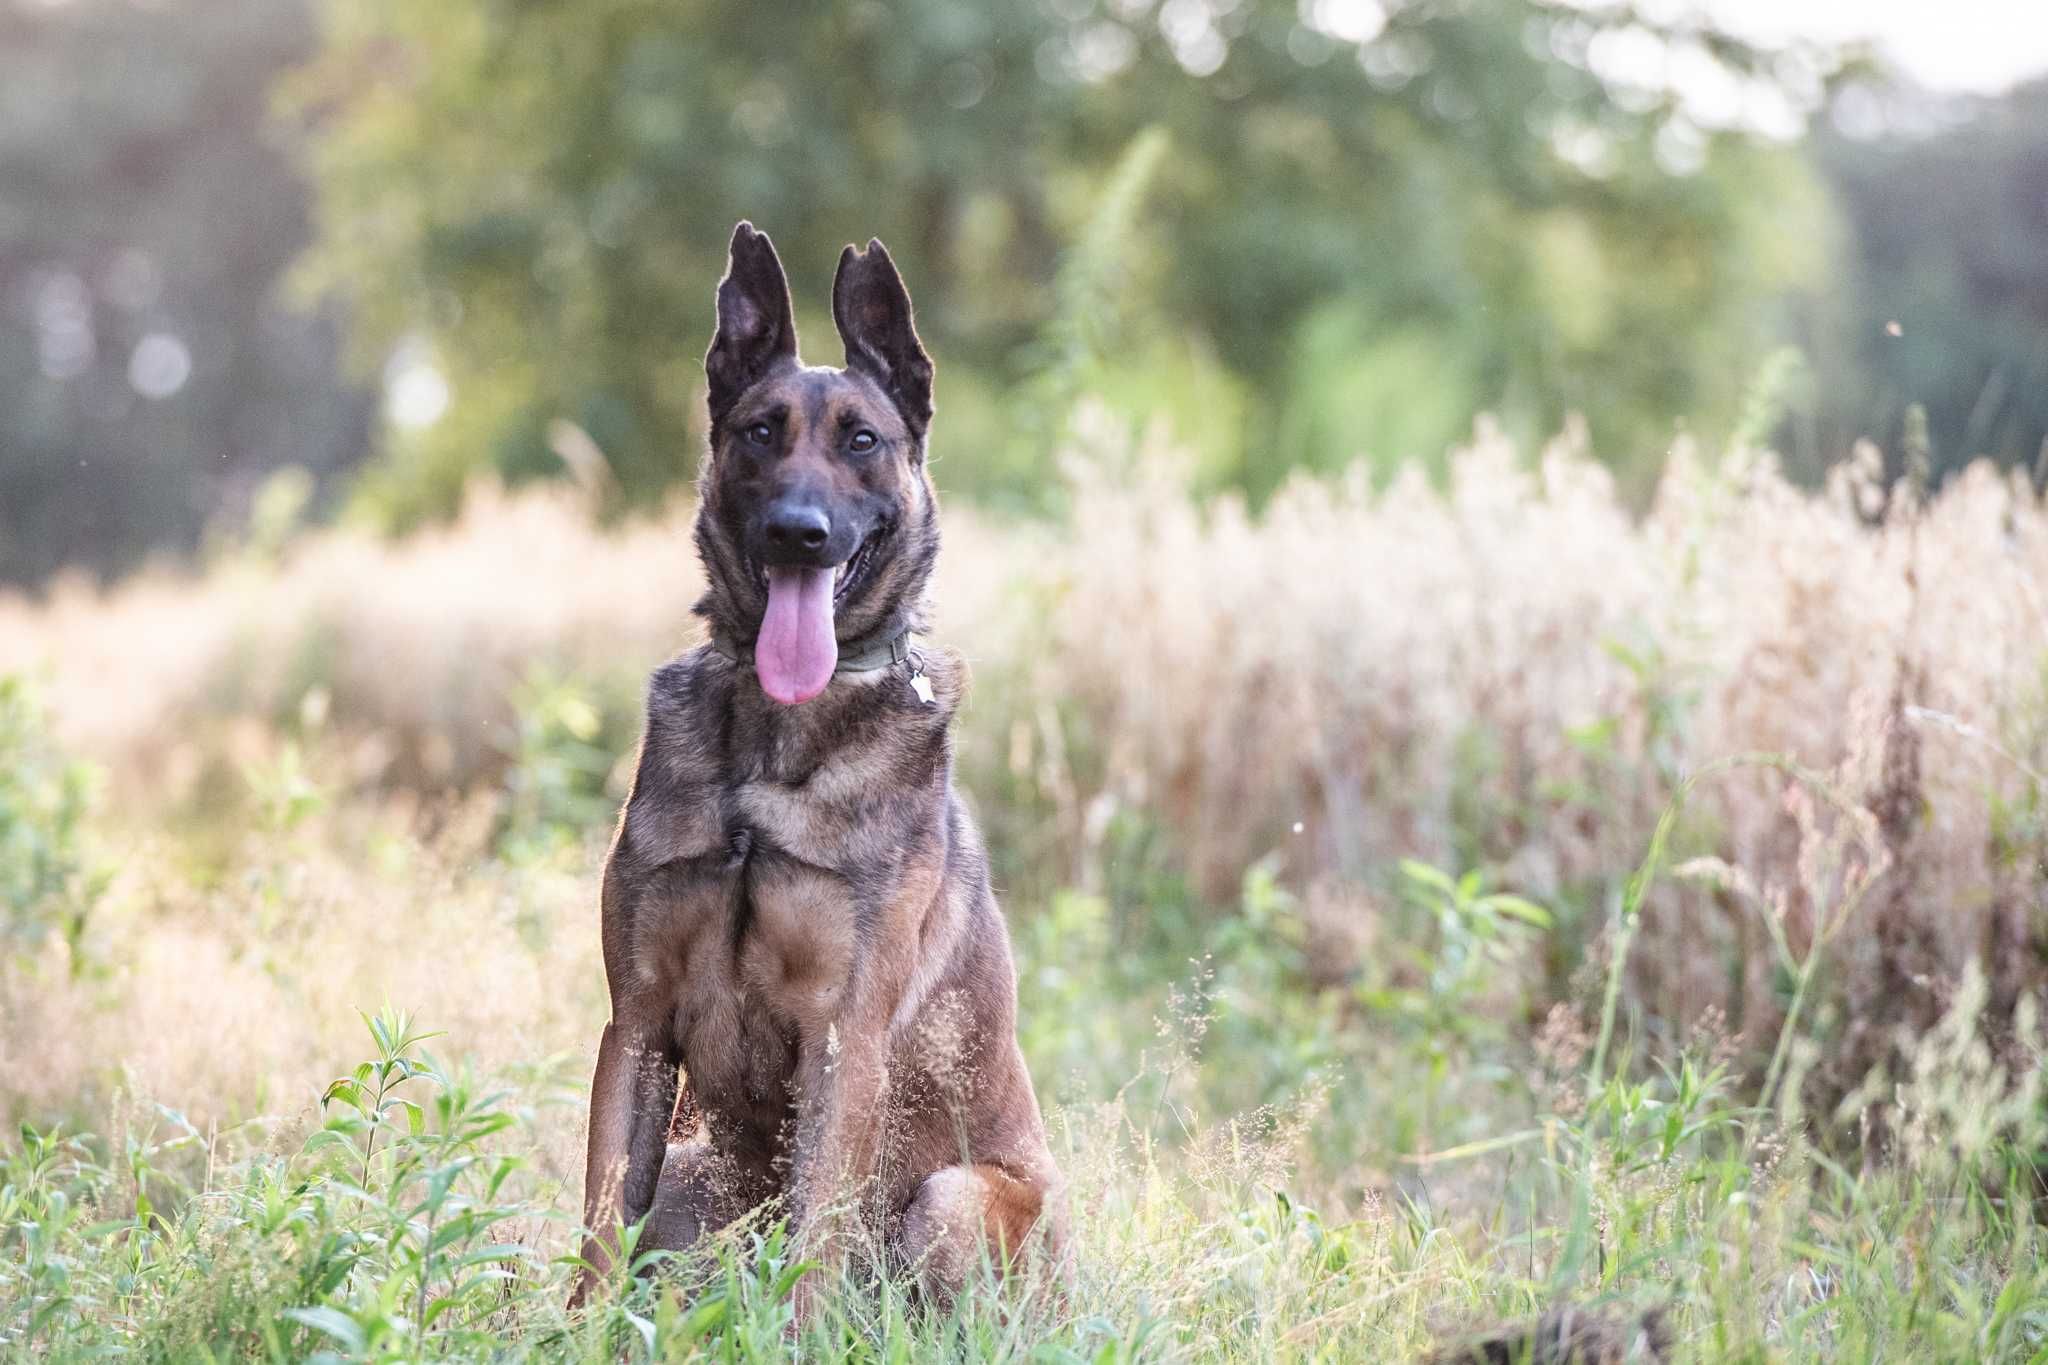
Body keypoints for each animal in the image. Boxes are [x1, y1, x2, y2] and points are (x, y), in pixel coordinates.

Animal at [569, 222, 1064, 1309]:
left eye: (861, 441)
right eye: (760, 432)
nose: (797, 531)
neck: (769, 751)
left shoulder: (845, 1042)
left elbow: (814, 1254)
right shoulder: (637, 1025)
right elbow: (597, 1237)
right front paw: (568, 1333)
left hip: (951, 1199)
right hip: (695, 1173)